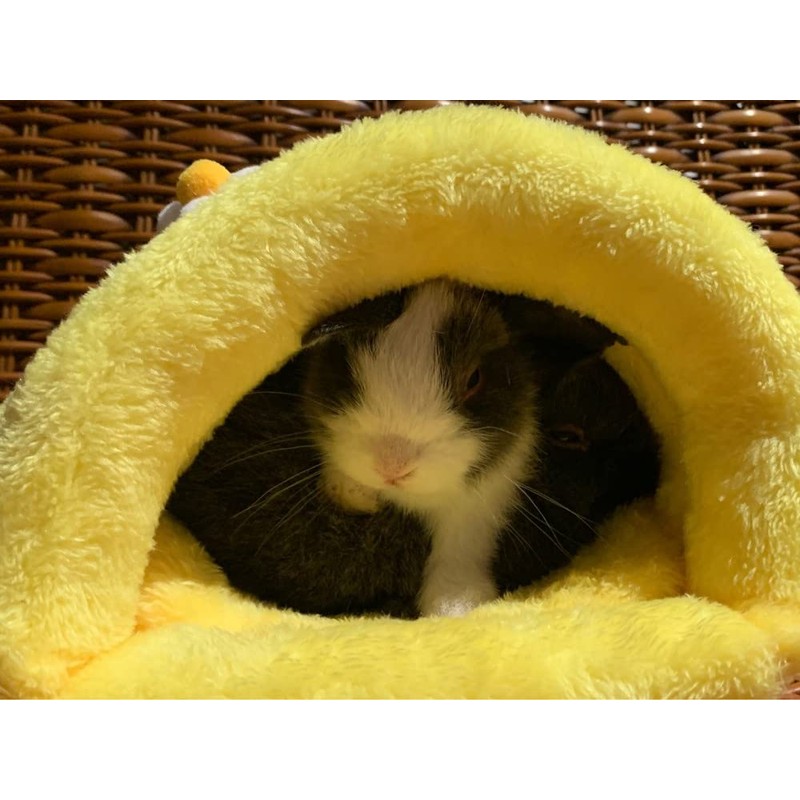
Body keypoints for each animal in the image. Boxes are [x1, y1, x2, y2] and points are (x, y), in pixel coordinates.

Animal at [166, 279, 660, 618]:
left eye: (473, 378)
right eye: (347, 366)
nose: (393, 465)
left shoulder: (484, 502)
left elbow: (459, 557)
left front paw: (456, 612)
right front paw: (354, 494)